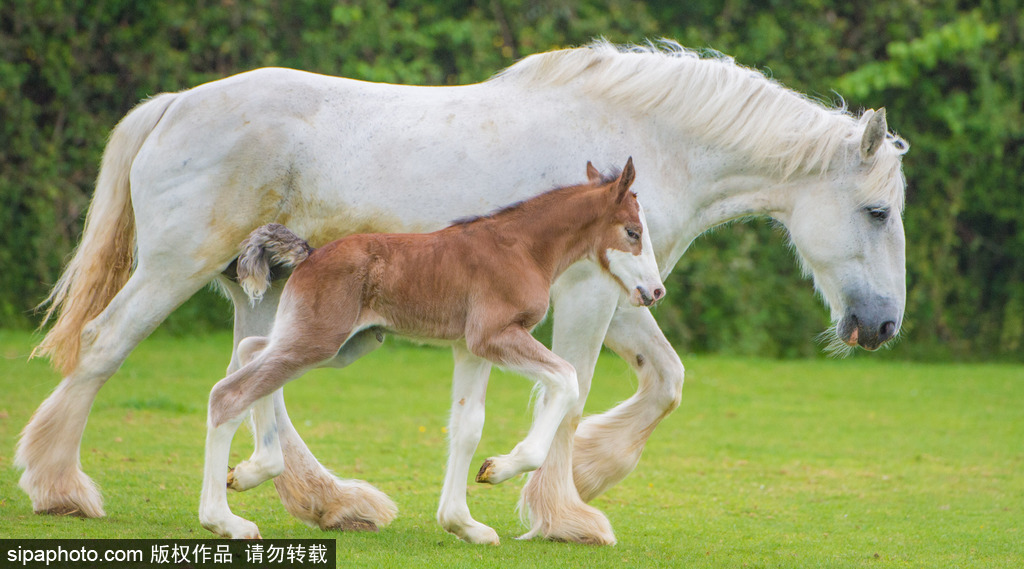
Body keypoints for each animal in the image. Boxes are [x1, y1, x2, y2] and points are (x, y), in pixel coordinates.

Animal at [199, 160, 663, 541]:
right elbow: (566, 379)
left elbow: (467, 426)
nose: (654, 292)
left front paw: (464, 524)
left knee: (252, 351)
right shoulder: (492, 336)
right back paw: (225, 521)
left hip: (341, 344)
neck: (523, 248)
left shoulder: (470, 349)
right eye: (633, 233)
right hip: (319, 339)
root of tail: (310, 254)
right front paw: (500, 469)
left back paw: (251, 471)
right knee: (231, 392)